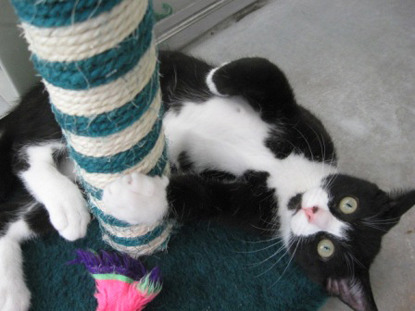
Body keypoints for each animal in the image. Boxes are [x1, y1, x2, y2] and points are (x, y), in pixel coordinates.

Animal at [0, 51, 414, 311]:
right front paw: (218, 76)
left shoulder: (251, 211)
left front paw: (130, 200)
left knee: (18, 200)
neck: (287, 178)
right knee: (30, 146)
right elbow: (271, 77)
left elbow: (200, 198)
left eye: (326, 248)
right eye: (349, 203)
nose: (311, 210)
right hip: (60, 113)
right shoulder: (308, 128)